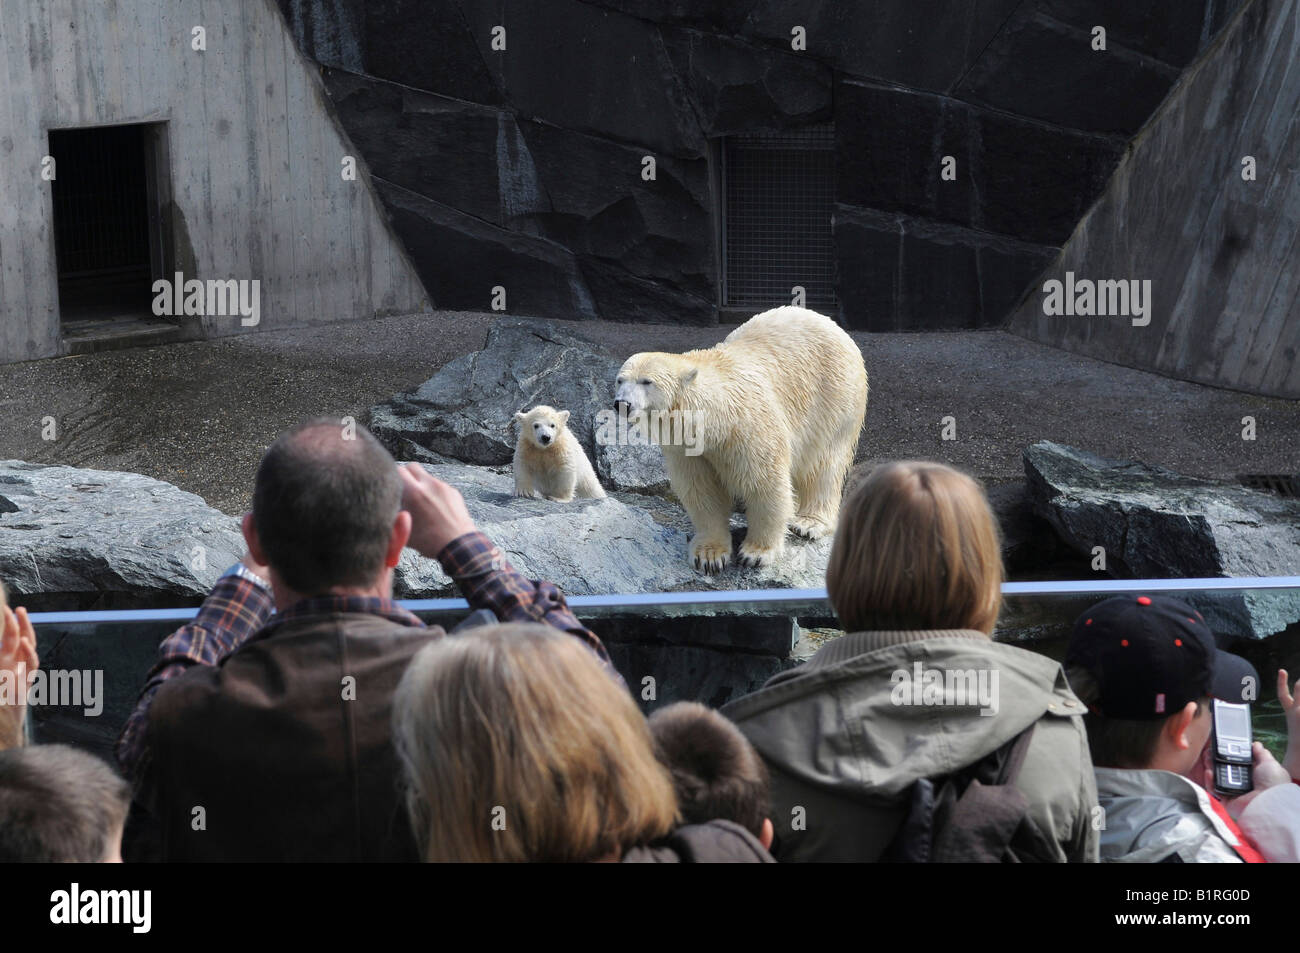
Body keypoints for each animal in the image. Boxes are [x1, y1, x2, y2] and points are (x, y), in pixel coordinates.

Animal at [613, 308, 868, 569]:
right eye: (620, 380)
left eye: (647, 381)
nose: (622, 404)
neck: (716, 418)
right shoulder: (687, 449)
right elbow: (702, 490)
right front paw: (709, 555)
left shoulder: (749, 428)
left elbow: (764, 484)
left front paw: (756, 553)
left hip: (834, 399)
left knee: (823, 463)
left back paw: (809, 522)